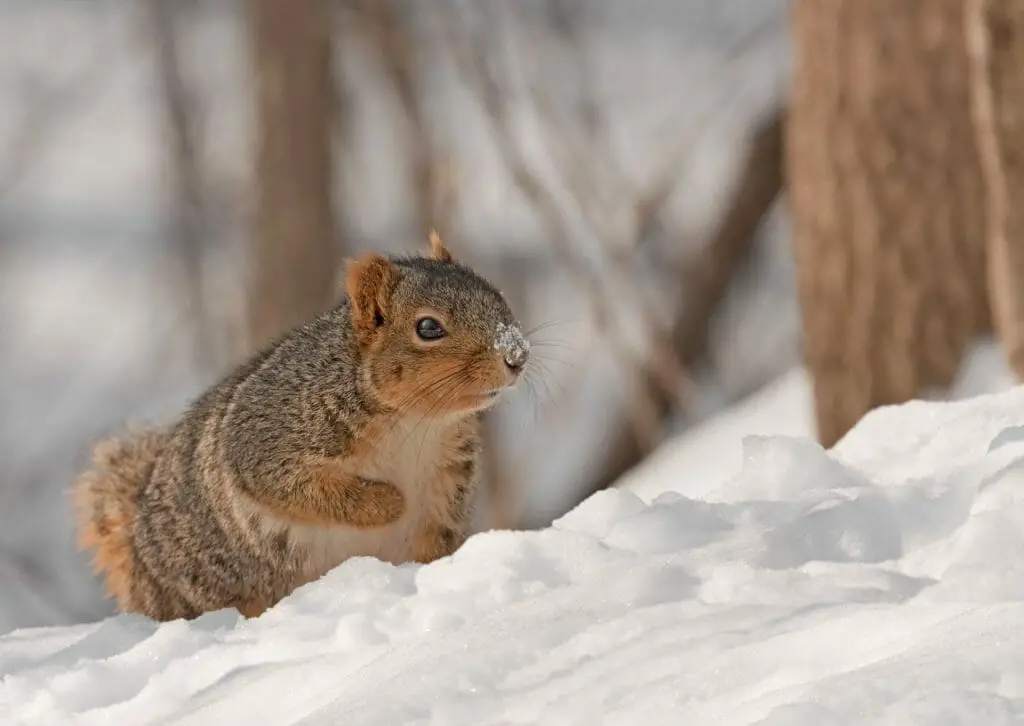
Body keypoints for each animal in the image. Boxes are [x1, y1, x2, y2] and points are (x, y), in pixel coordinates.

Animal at [75, 233, 532, 622]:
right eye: (429, 327)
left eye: (497, 296)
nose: (517, 354)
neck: (418, 423)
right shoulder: (265, 440)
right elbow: (296, 488)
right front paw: (386, 503)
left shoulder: (447, 486)